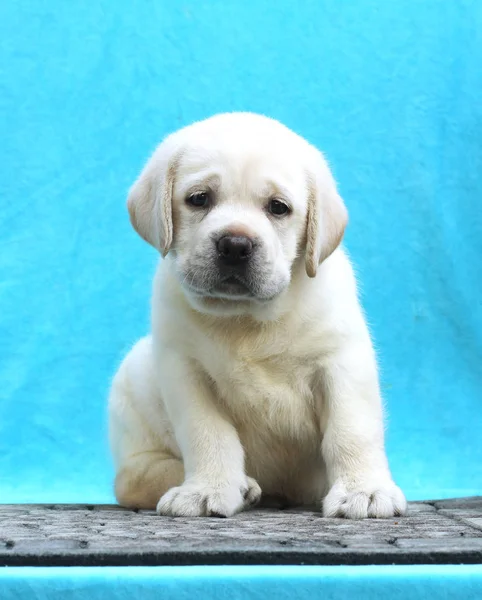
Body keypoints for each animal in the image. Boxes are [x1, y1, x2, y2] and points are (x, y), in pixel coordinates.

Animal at [109, 113, 406, 520]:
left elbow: (352, 430)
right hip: (135, 370)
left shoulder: (342, 361)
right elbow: (207, 434)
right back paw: (235, 484)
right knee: (133, 478)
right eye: (199, 199)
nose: (235, 245)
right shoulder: (184, 369)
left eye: (278, 207)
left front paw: (364, 490)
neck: (248, 319)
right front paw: (208, 489)